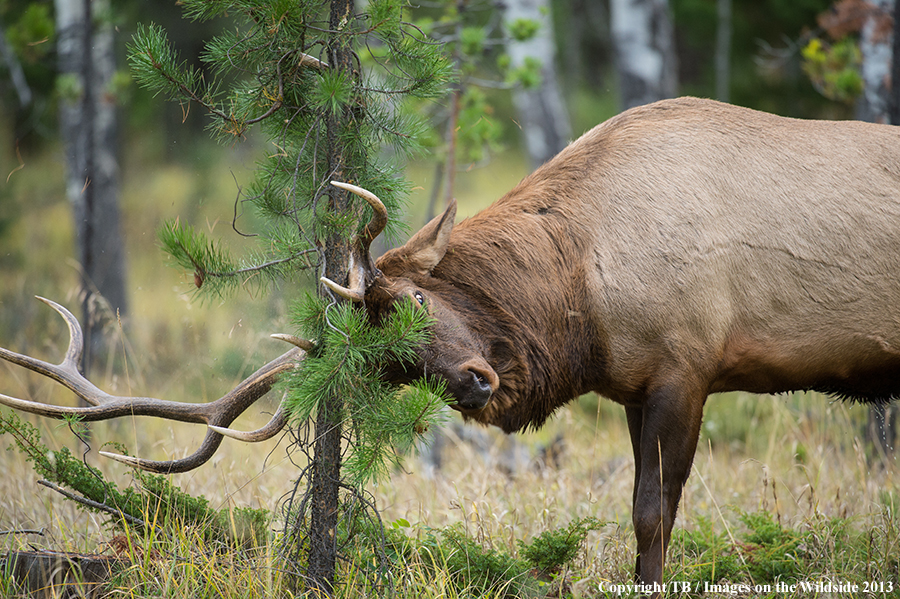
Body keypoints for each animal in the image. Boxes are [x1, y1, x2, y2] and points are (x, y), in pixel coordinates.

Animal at [1, 98, 900, 592]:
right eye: (391, 366)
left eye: (409, 304)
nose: (474, 382)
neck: (584, 285)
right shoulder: (640, 384)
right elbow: (643, 509)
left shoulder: (689, 362)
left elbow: (656, 513)